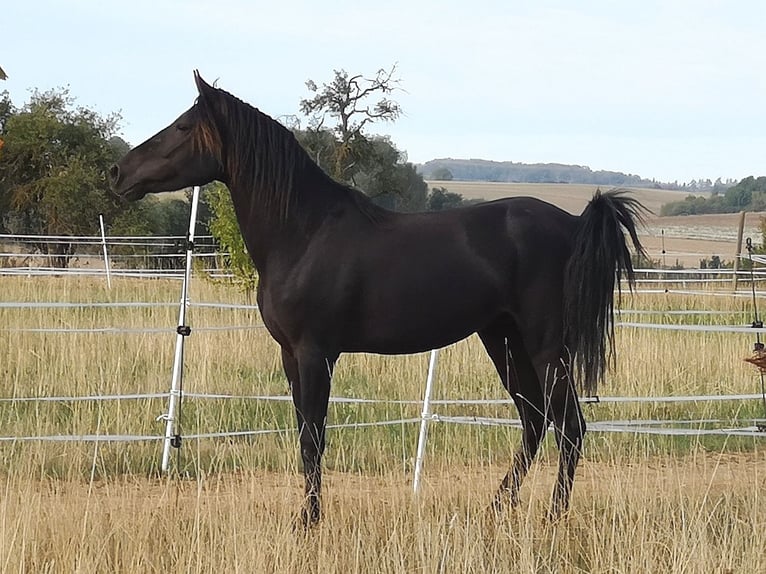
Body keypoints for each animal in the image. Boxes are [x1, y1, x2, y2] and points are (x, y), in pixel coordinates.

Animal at [110, 71, 646, 527]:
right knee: (535, 420)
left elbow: (314, 438)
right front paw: (307, 517)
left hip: (546, 345)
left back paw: (554, 518)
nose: (118, 173)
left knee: (569, 426)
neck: (304, 232)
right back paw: (495, 510)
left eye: (183, 126)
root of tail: (573, 223)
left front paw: (309, 523)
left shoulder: (315, 353)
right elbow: (304, 435)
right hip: (502, 339)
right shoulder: (290, 355)